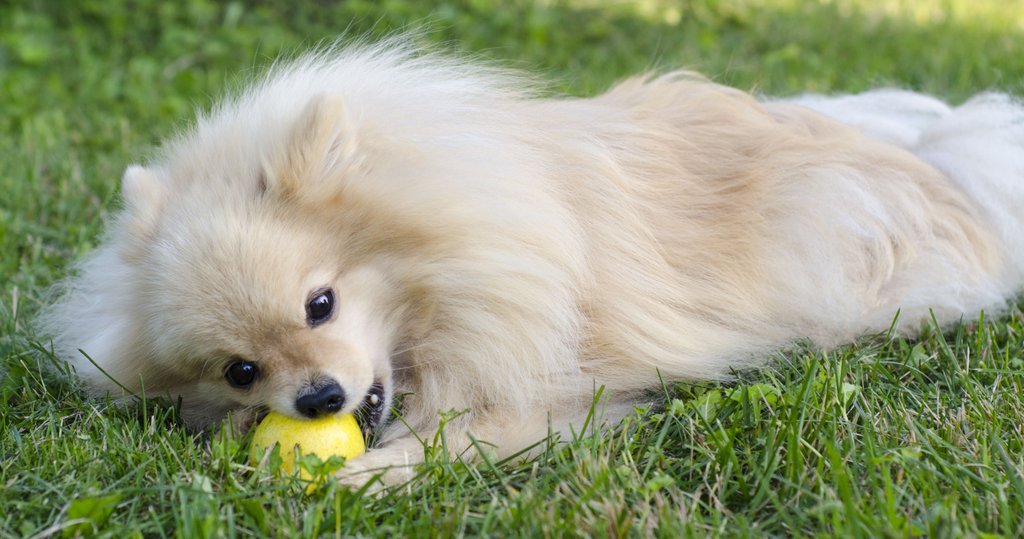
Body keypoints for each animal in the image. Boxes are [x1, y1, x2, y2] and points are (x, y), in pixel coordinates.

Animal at [36, 41, 1019, 485]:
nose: (316, 398)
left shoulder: (545, 384)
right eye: (240, 371)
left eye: (321, 303)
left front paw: (356, 477)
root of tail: (944, 165)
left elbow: (448, 438)